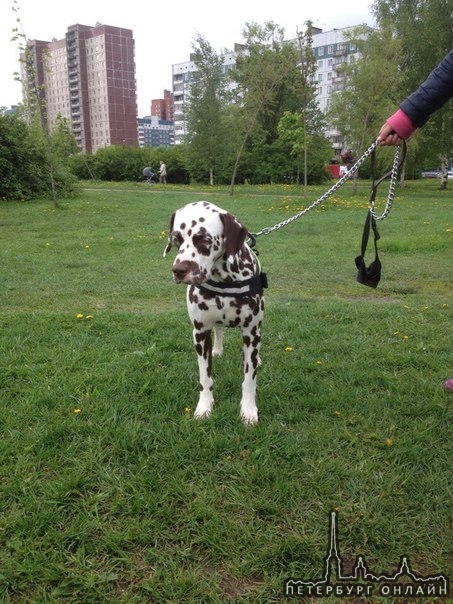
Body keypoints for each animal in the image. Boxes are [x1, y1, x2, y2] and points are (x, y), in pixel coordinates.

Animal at [164, 201, 266, 422]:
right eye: (176, 238)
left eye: (204, 239)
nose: (179, 270)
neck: (223, 280)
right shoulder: (200, 333)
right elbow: (205, 378)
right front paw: (204, 407)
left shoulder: (251, 331)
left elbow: (249, 378)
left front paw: (248, 410)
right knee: (219, 330)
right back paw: (218, 349)